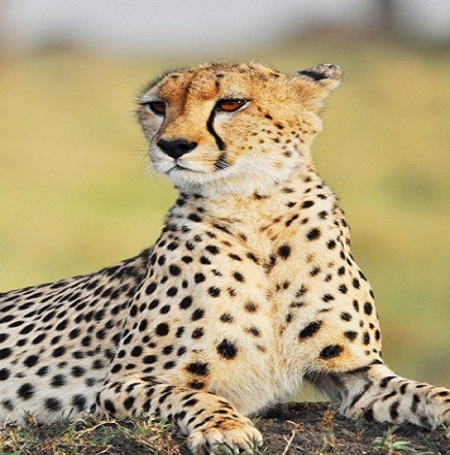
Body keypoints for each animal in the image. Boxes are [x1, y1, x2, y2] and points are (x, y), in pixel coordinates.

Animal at [0, 62, 448, 454]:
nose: (172, 145)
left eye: (232, 103)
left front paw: (441, 403)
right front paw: (225, 427)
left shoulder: (355, 373)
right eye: (157, 106)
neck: (255, 211)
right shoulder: (120, 384)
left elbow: (421, 390)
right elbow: (191, 396)